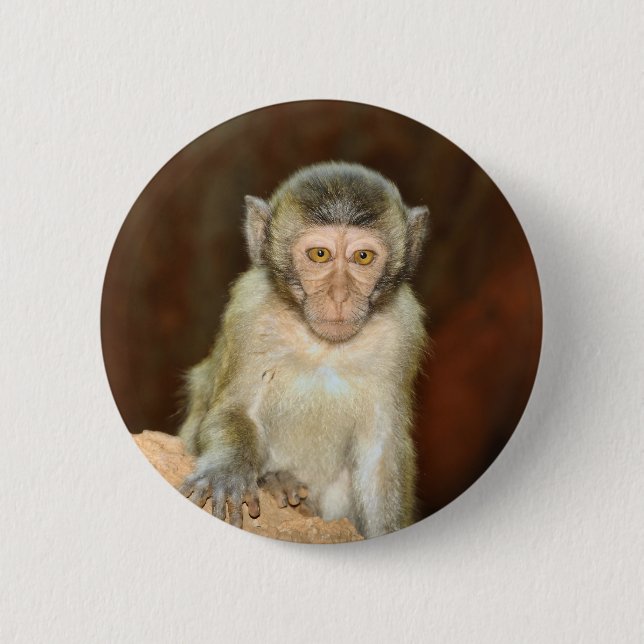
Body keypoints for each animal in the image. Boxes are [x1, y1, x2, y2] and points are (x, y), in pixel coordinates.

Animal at [178, 161, 429, 539]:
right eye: (320, 255)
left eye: (363, 257)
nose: (339, 296)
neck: (323, 346)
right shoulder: (249, 309)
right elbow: (233, 410)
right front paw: (227, 473)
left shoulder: (403, 329)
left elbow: (380, 454)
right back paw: (276, 481)